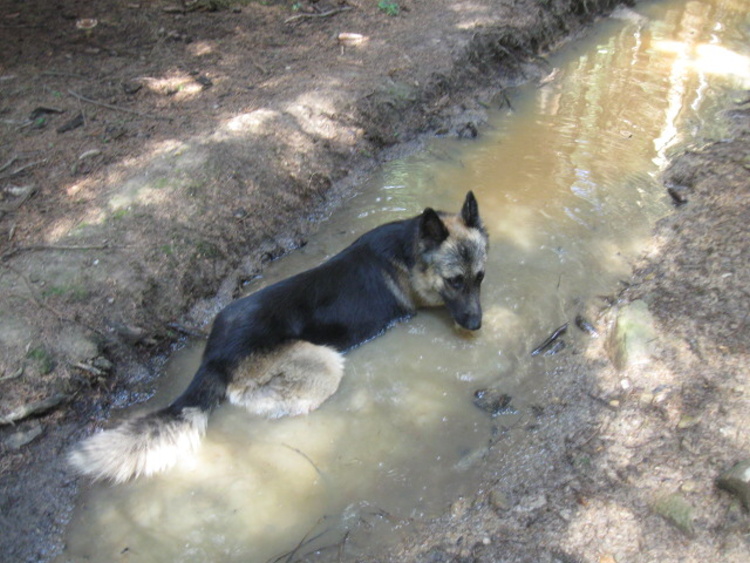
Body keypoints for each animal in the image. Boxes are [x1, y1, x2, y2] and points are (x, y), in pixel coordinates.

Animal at [69, 191, 488, 483]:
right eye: (455, 281)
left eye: (480, 277)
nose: (475, 325)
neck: (410, 251)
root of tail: (214, 355)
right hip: (324, 362)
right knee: (258, 401)